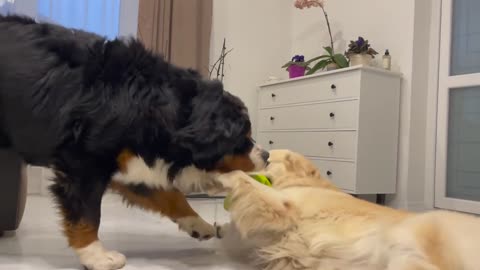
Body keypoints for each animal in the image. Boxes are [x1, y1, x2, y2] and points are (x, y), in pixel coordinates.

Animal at [0, 15, 270, 270]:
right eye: (243, 137)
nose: (266, 155)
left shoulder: (130, 161)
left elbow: (171, 195)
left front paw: (199, 224)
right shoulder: (85, 161)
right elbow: (87, 214)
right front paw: (96, 256)